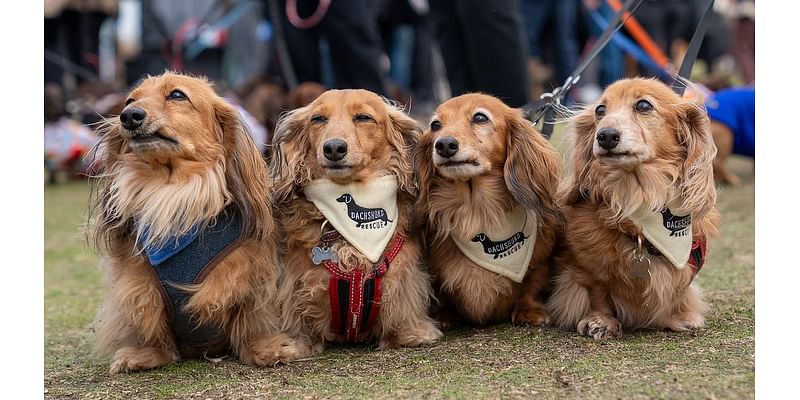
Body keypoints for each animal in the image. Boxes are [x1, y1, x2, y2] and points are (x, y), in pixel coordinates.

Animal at [90, 71, 296, 372]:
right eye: (130, 100)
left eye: (177, 95)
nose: (129, 116)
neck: (172, 190)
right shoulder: (138, 284)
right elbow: (149, 321)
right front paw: (146, 354)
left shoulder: (254, 274)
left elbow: (253, 317)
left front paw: (265, 348)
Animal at [268, 87, 444, 356]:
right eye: (318, 119)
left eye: (363, 117)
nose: (333, 148)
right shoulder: (294, 283)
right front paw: (295, 343)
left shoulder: (403, 275)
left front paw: (411, 333)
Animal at [412, 94, 564, 328]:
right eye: (436, 125)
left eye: (480, 117)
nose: (444, 144)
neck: (478, 211)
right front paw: (443, 315)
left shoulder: (540, 260)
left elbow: (533, 283)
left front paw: (529, 310)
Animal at [552, 77, 720, 338]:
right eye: (600, 110)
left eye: (643, 105)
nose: (605, 136)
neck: (636, 196)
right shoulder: (584, 270)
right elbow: (597, 290)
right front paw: (601, 321)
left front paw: (679, 316)